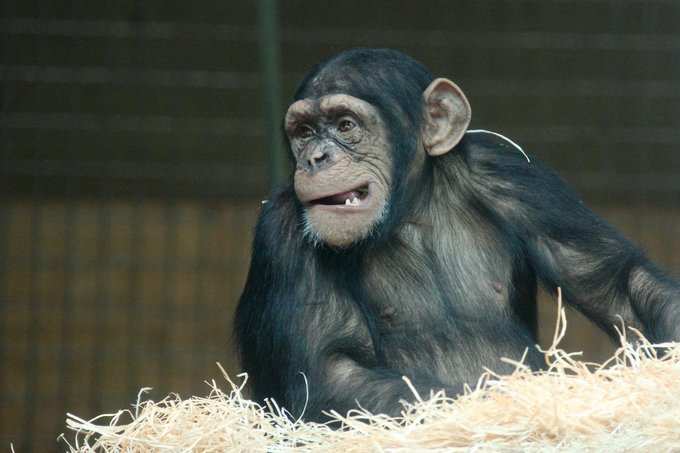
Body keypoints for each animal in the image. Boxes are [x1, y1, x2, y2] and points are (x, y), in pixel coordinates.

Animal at [235, 47, 680, 418]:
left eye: (346, 125)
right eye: (304, 131)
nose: (315, 157)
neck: (409, 212)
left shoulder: (515, 176)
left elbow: (617, 287)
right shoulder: (282, 233)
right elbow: (328, 374)